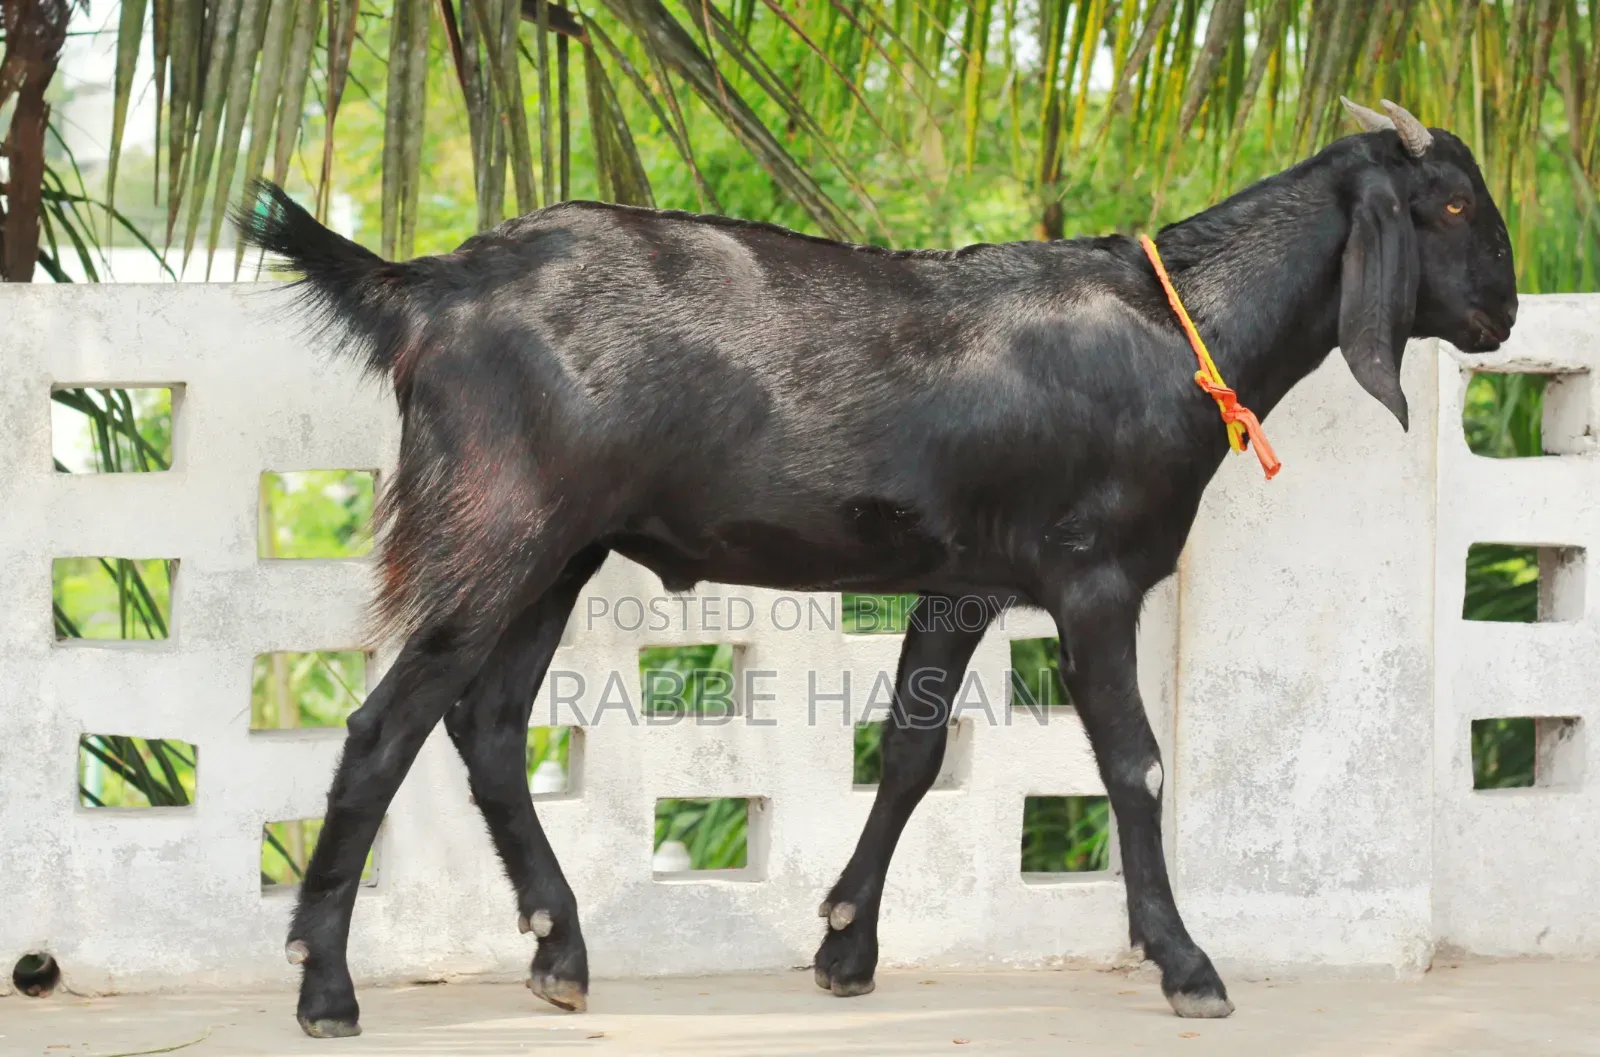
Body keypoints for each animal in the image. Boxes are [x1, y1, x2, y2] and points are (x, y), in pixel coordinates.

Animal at [237, 98, 1517, 1038]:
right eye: (1451, 201)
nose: (1503, 315)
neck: (1176, 329)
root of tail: (429, 289)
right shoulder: (1093, 577)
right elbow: (1134, 764)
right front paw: (1187, 963)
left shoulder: (963, 580)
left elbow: (909, 750)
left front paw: (845, 942)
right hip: (497, 524)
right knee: (386, 724)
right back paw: (324, 985)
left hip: (559, 549)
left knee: (490, 723)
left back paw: (560, 948)